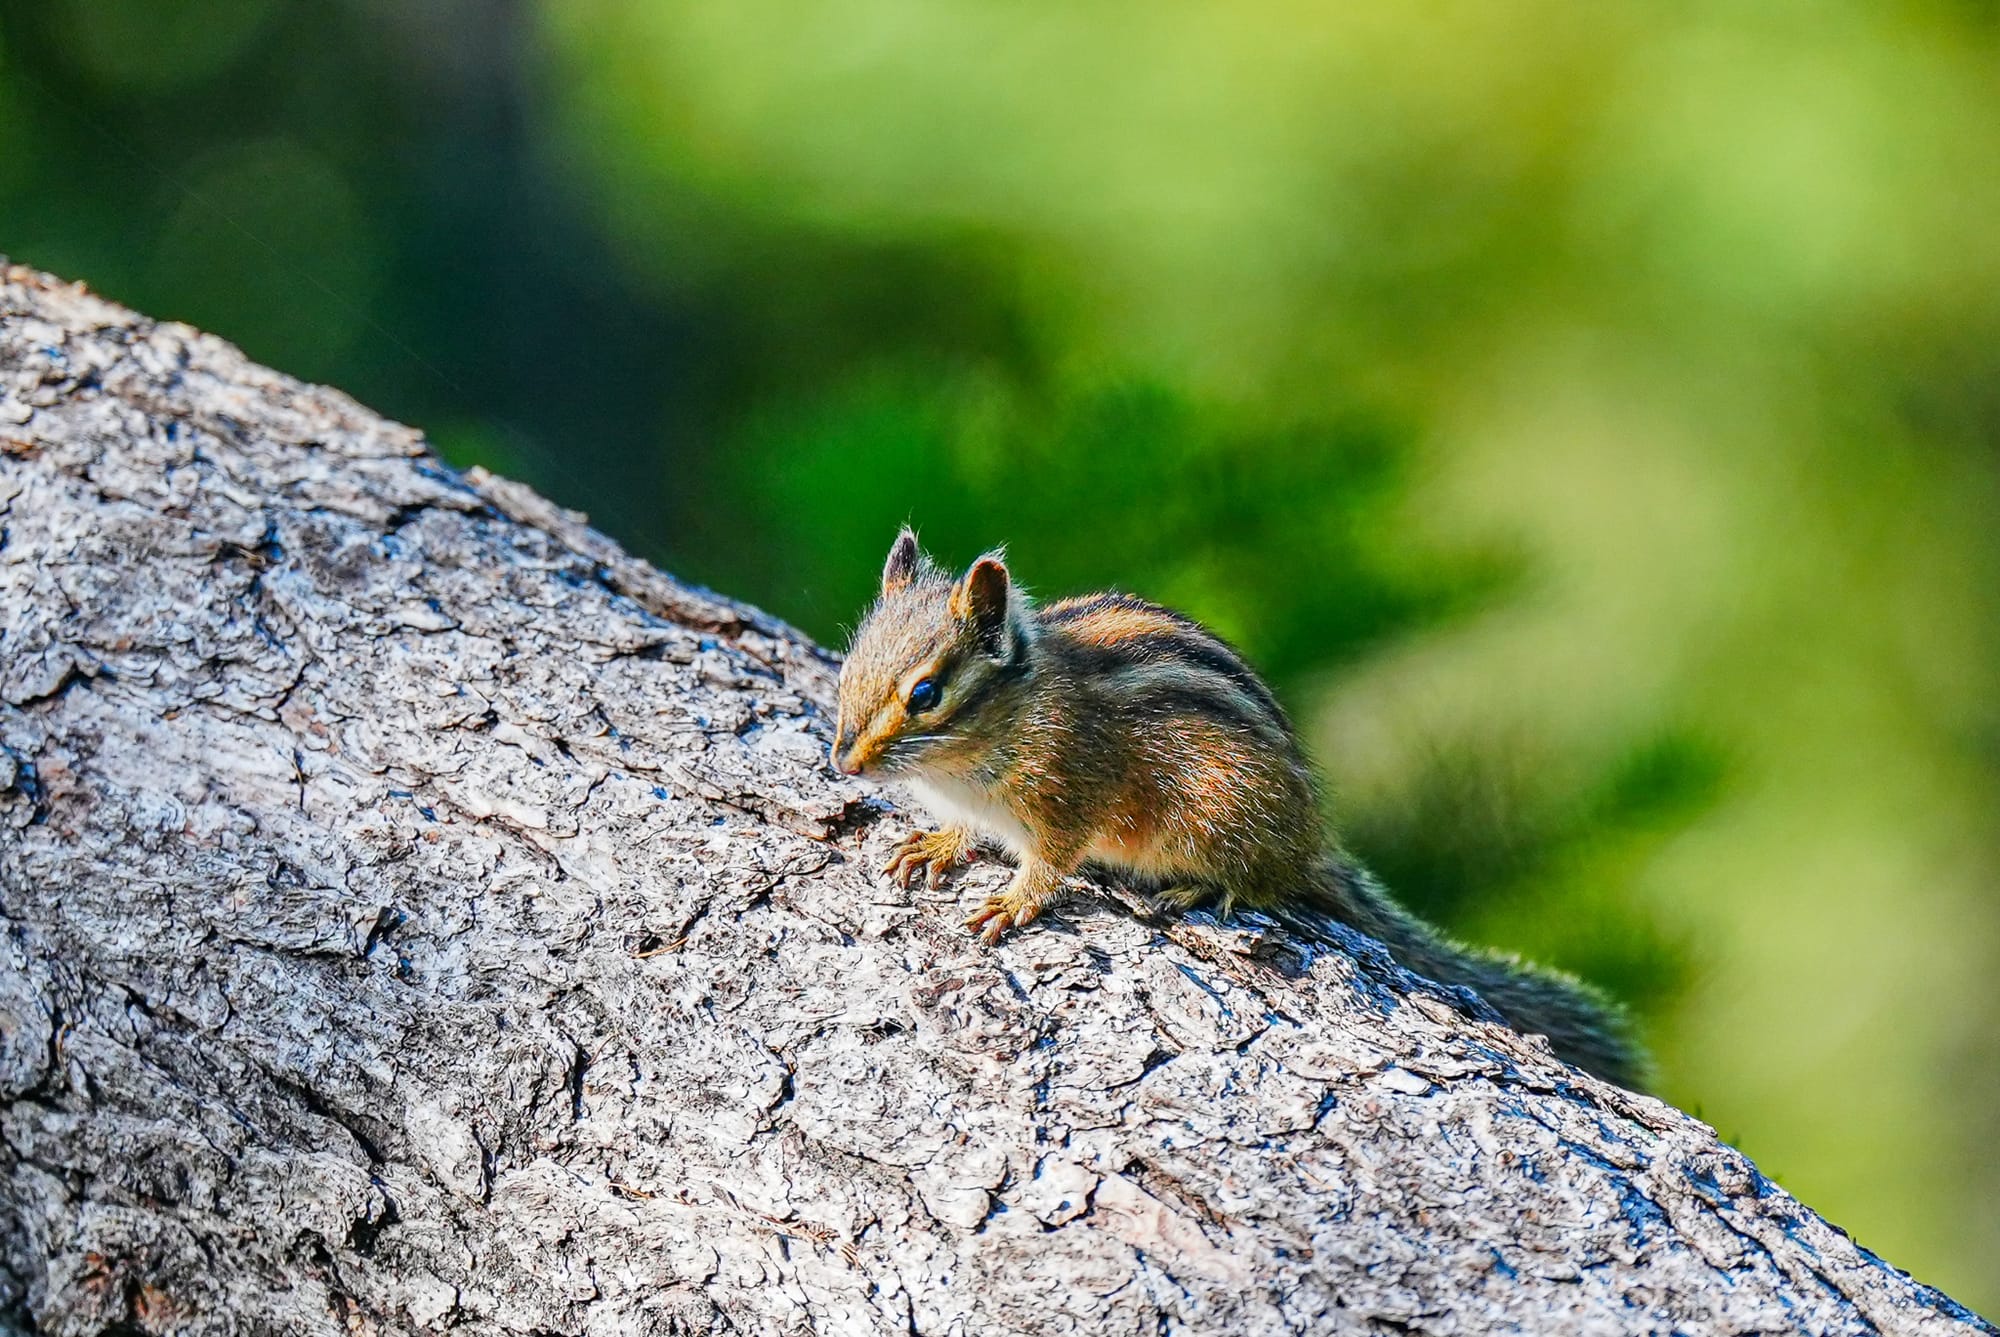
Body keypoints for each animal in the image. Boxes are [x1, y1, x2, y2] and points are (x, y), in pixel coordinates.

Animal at [832, 528, 1645, 1088]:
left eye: (925, 693)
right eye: (848, 668)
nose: (844, 762)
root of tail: (1308, 837)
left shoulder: (1068, 791)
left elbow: (1051, 862)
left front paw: (1012, 899)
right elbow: (965, 830)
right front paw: (935, 843)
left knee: (1265, 879)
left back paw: (1205, 886)